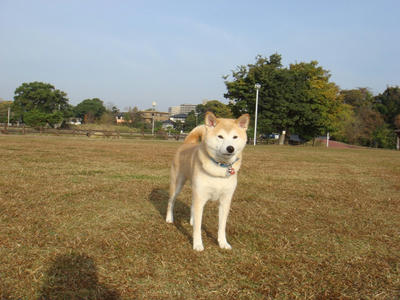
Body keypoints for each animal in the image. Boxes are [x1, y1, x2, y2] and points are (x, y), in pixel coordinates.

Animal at [164, 112, 248, 251]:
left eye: (235, 137)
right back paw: (169, 219)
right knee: (171, 202)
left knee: (192, 206)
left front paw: (223, 243)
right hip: (177, 185)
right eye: (220, 136)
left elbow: (222, 226)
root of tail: (186, 143)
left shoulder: (225, 201)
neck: (220, 167)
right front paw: (198, 244)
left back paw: (192, 221)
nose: (230, 148)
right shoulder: (200, 196)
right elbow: (198, 228)